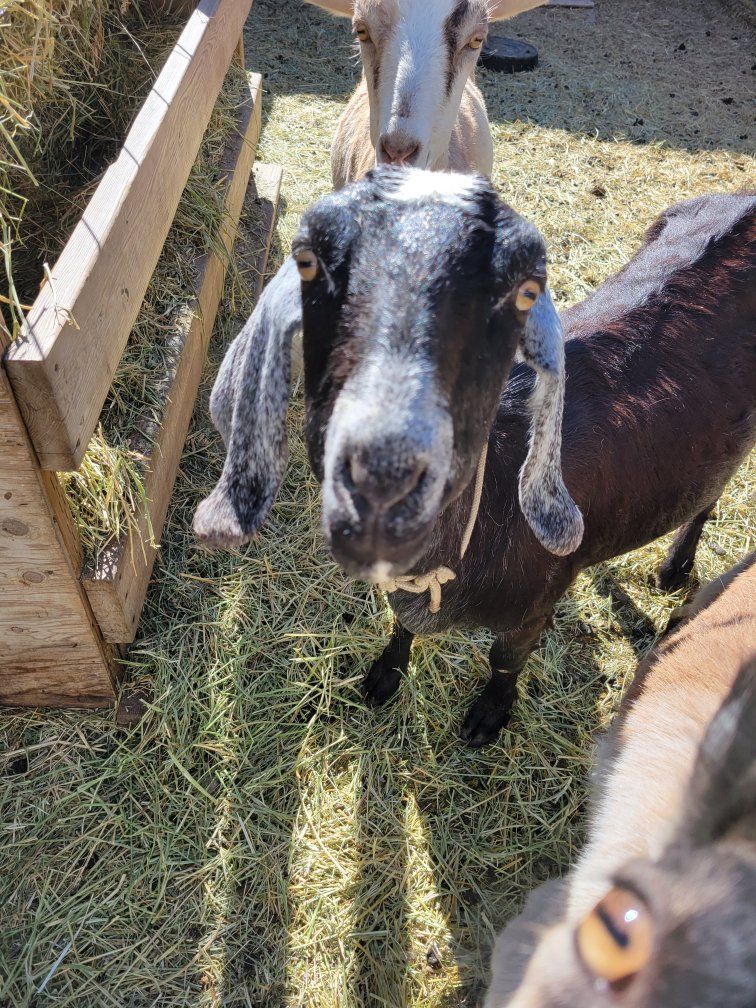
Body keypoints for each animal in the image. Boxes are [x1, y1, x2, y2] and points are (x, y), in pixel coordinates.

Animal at [194, 168, 756, 748]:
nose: (389, 455)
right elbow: (403, 626)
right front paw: (383, 676)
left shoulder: (536, 603)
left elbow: (504, 659)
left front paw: (489, 715)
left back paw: (674, 571)